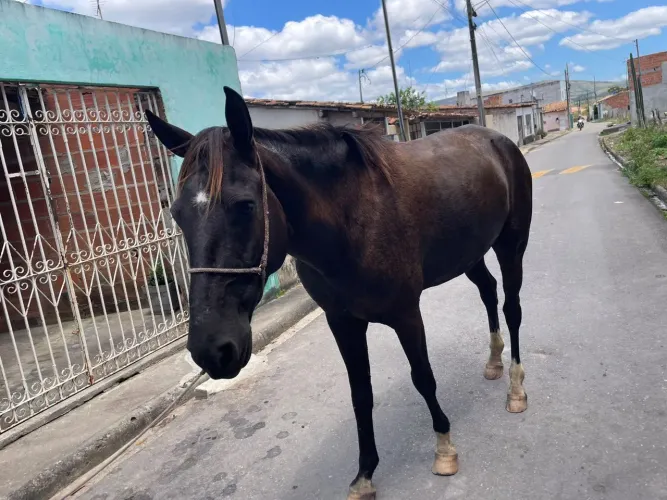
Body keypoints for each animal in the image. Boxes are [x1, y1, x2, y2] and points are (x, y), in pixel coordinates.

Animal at [145, 86, 532, 500]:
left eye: (246, 205)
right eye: (177, 214)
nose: (212, 350)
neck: (352, 221)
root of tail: (498, 140)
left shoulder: (406, 314)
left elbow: (423, 377)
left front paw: (444, 447)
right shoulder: (343, 322)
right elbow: (360, 394)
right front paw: (365, 474)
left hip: (511, 246)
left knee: (512, 309)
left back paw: (516, 387)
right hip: (469, 253)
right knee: (488, 292)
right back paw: (493, 362)